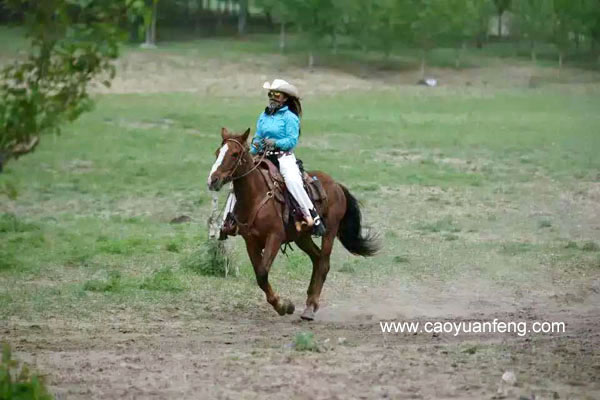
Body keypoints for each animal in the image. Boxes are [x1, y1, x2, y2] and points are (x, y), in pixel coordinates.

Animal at [206, 126, 376, 320]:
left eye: (234, 154)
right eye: (217, 152)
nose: (213, 180)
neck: (255, 197)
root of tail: (337, 185)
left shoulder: (275, 236)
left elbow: (262, 274)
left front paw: (283, 305)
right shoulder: (251, 242)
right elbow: (259, 276)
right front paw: (283, 305)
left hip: (330, 231)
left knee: (324, 263)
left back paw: (311, 307)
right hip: (302, 237)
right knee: (317, 258)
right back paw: (309, 302)